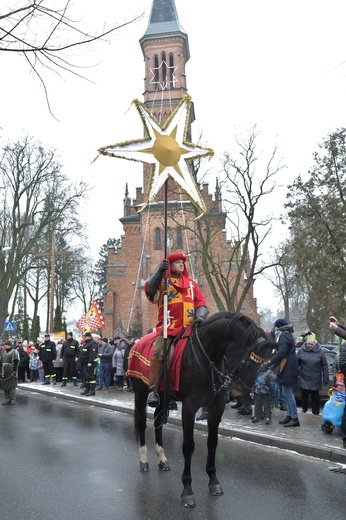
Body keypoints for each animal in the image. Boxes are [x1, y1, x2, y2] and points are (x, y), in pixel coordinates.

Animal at [128, 312, 274, 508]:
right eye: (249, 358)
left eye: (262, 362)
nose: (243, 391)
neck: (208, 356)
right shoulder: (189, 407)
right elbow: (188, 446)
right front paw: (187, 490)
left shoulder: (216, 407)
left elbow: (212, 443)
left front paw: (213, 481)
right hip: (141, 392)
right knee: (142, 424)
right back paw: (144, 461)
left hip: (162, 396)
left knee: (158, 422)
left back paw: (162, 459)